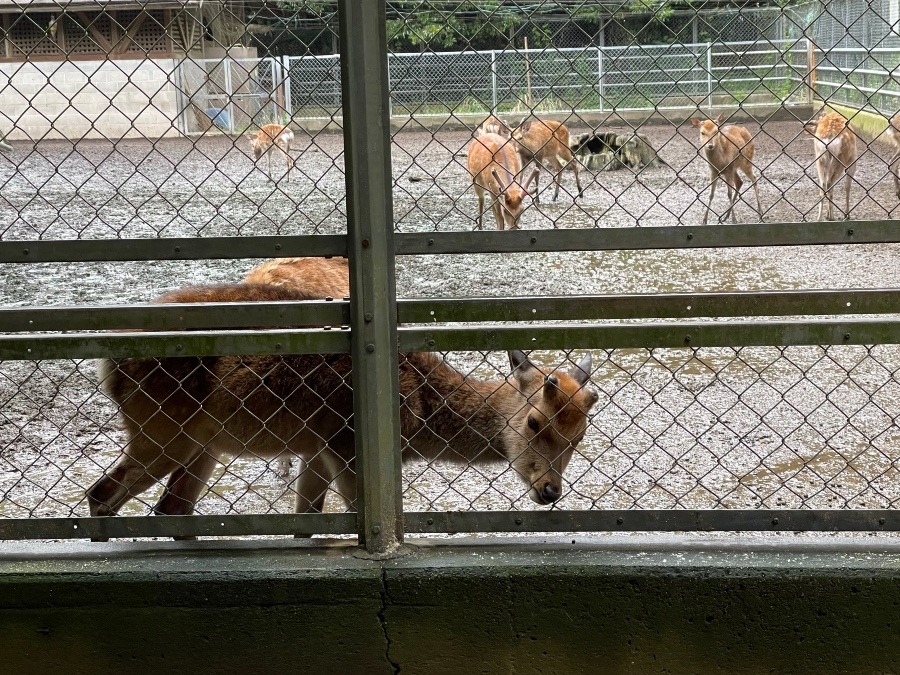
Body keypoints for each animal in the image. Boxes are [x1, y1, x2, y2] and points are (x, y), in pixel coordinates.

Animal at [88, 282, 596, 524]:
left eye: (580, 436)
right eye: (534, 422)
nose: (550, 490)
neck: (418, 419)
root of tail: (107, 363)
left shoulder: (316, 448)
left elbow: (307, 517)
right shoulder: (346, 444)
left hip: (203, 444)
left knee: (171, 507)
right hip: (161, 430)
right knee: (101, 493)